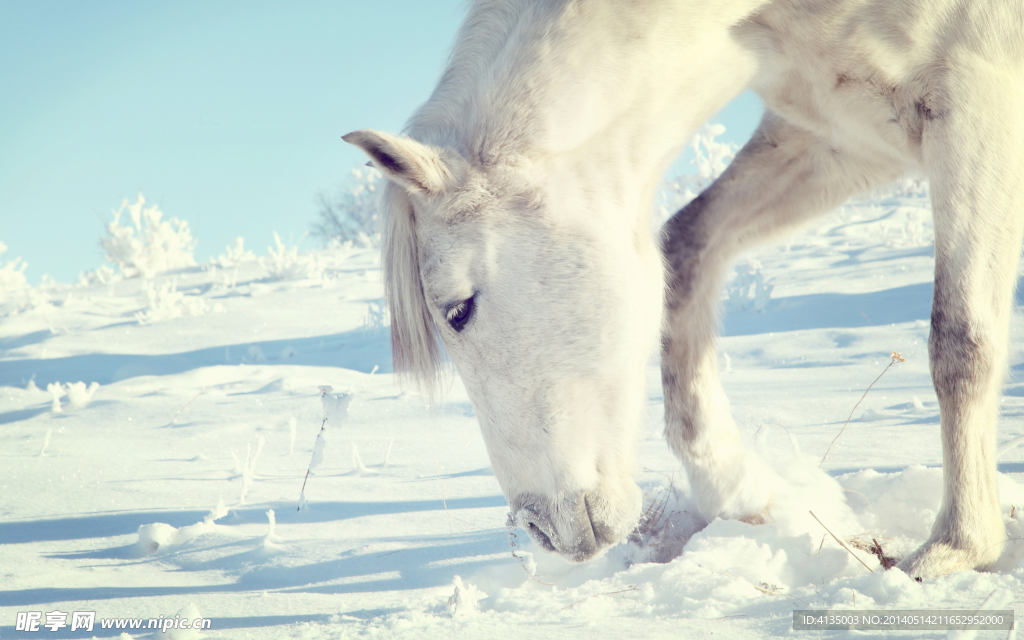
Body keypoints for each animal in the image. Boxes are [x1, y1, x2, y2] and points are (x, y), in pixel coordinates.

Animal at [344, 0, 1024, 579]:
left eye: (459, 310)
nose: (543, 530)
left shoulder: (977, 102)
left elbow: (961, 340)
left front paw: (956, 548)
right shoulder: (842, 136)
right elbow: (686, 247)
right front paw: (741, 492)